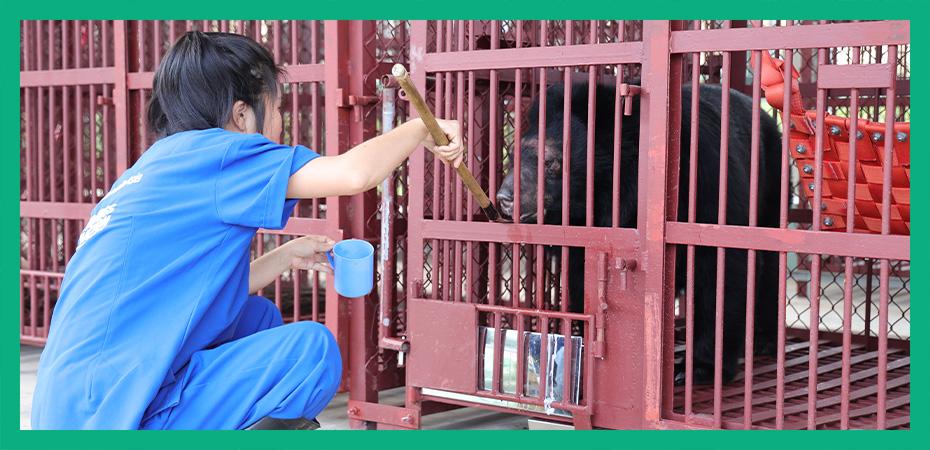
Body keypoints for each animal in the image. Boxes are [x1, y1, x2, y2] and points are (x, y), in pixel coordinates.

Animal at [496, 80, 780, 384]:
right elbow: (585, 281)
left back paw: (764, 340)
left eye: (551, 162)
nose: (505, 199)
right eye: (513, 157)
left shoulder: (708, 181)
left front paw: (697, 369)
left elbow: (721, 269)